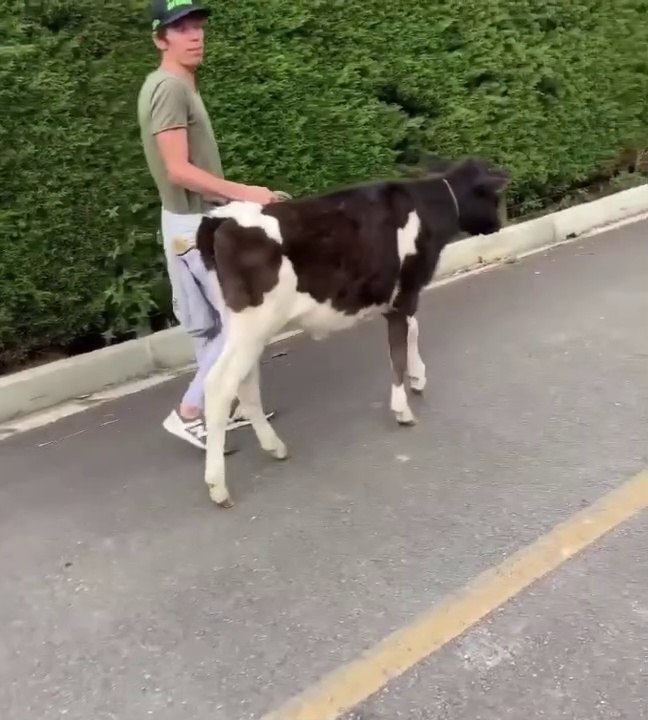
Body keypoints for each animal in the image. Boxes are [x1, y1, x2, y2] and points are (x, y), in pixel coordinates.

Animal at [195, 156, 510, 507]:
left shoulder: (399, 298)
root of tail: (222, 221)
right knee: (220, 384)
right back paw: (218, 487)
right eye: (493, 195)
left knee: (246, 385)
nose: (497, 224)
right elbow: (398, 351)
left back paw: (274, 447)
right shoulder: (404, 294)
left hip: (245, 328)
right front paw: (402, 409)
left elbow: (412, 332)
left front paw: (418, 378)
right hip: (253, 322)